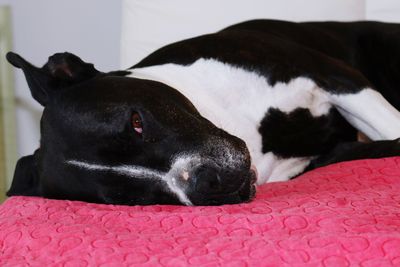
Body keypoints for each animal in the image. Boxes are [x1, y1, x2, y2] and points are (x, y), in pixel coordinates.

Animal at [5, 19, 400, 206]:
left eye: (136, 122)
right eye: (129, 197)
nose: (207, 182)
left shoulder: (333, 75)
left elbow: (388, 124)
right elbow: (387, 140)